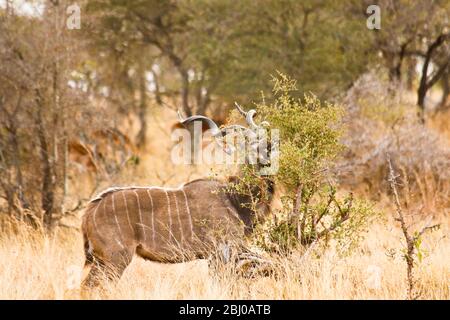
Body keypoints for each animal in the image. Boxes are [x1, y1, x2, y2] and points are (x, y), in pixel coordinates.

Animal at [82, 105, 276, 288]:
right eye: (251, 146)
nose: (267, 153)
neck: (232, 197)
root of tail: (89, 212)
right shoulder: (224, 249)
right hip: (116, 258)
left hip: (101, 260)